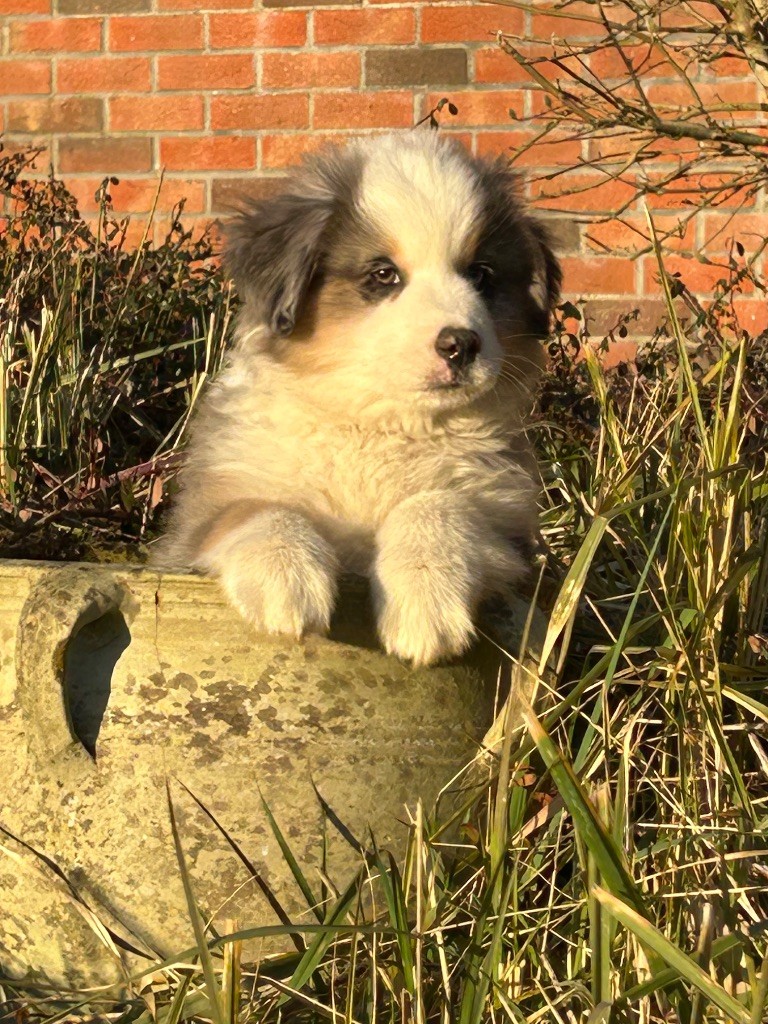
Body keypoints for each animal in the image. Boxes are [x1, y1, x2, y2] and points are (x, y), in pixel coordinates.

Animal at [157, 131, 561, 666]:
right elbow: (257, 509)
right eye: (384, 275)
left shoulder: (507, 525)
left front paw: (425, 600)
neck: (379, 423)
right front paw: (286, 578)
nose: (461, 345)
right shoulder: (202, 516)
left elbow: (441, 503)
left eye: (481, 274)